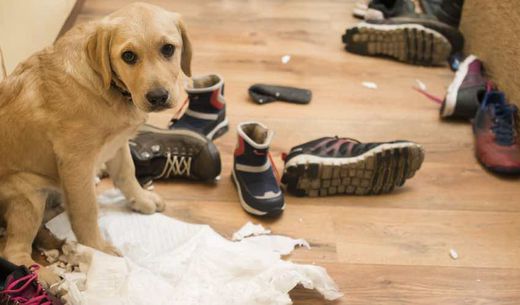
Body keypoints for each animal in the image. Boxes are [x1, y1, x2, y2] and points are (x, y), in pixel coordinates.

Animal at [0, 1, 191, 282]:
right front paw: (98, 250)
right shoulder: (75, 163)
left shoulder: (118, 143)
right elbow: (86, 211)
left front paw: (141, 199)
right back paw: (47, 278)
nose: (158, 97)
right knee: (12, 251)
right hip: (29, 195)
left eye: (168, 49)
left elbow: (127, 174)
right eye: (128, 56)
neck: (109, 87)